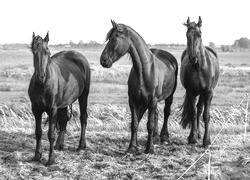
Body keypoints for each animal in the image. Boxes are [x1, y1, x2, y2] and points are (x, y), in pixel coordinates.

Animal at [28, 32, 91, 165]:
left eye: (47, 51)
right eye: (34, 52)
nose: (41, 76)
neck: (43, 85)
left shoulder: (52, 110)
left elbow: (51, 134)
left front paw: (51, 159)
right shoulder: (36, 110)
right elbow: (38, 132)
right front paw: (37, 156)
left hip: (84, 96)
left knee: (83, 118)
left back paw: (81, 145)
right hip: (63, 103)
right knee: (64, 120)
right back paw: (59, 144)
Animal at [99, 20, 178, 153]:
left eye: (115, 38)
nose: (103, 60)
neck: (144, 71)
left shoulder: (152, 100)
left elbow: (149, 124)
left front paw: (149, 148)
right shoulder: (133, 100)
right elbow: (134, 123)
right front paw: (132, 147)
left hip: (169, 97)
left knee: (166, 113)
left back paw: (164, 137)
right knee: (155, 114)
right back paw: (155, 137)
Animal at [181, 16, 220, 147]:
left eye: (199, 34)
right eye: (187, 35)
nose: (193, 58)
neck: (199, 67)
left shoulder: (208, 93)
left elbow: (206, 115)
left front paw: (206, 140)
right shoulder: (191, 92)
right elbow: (193, 113)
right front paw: (192, 137)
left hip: (203, 94)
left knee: (200, 110)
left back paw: (199, 134)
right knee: (197, 110)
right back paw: (196, 134)